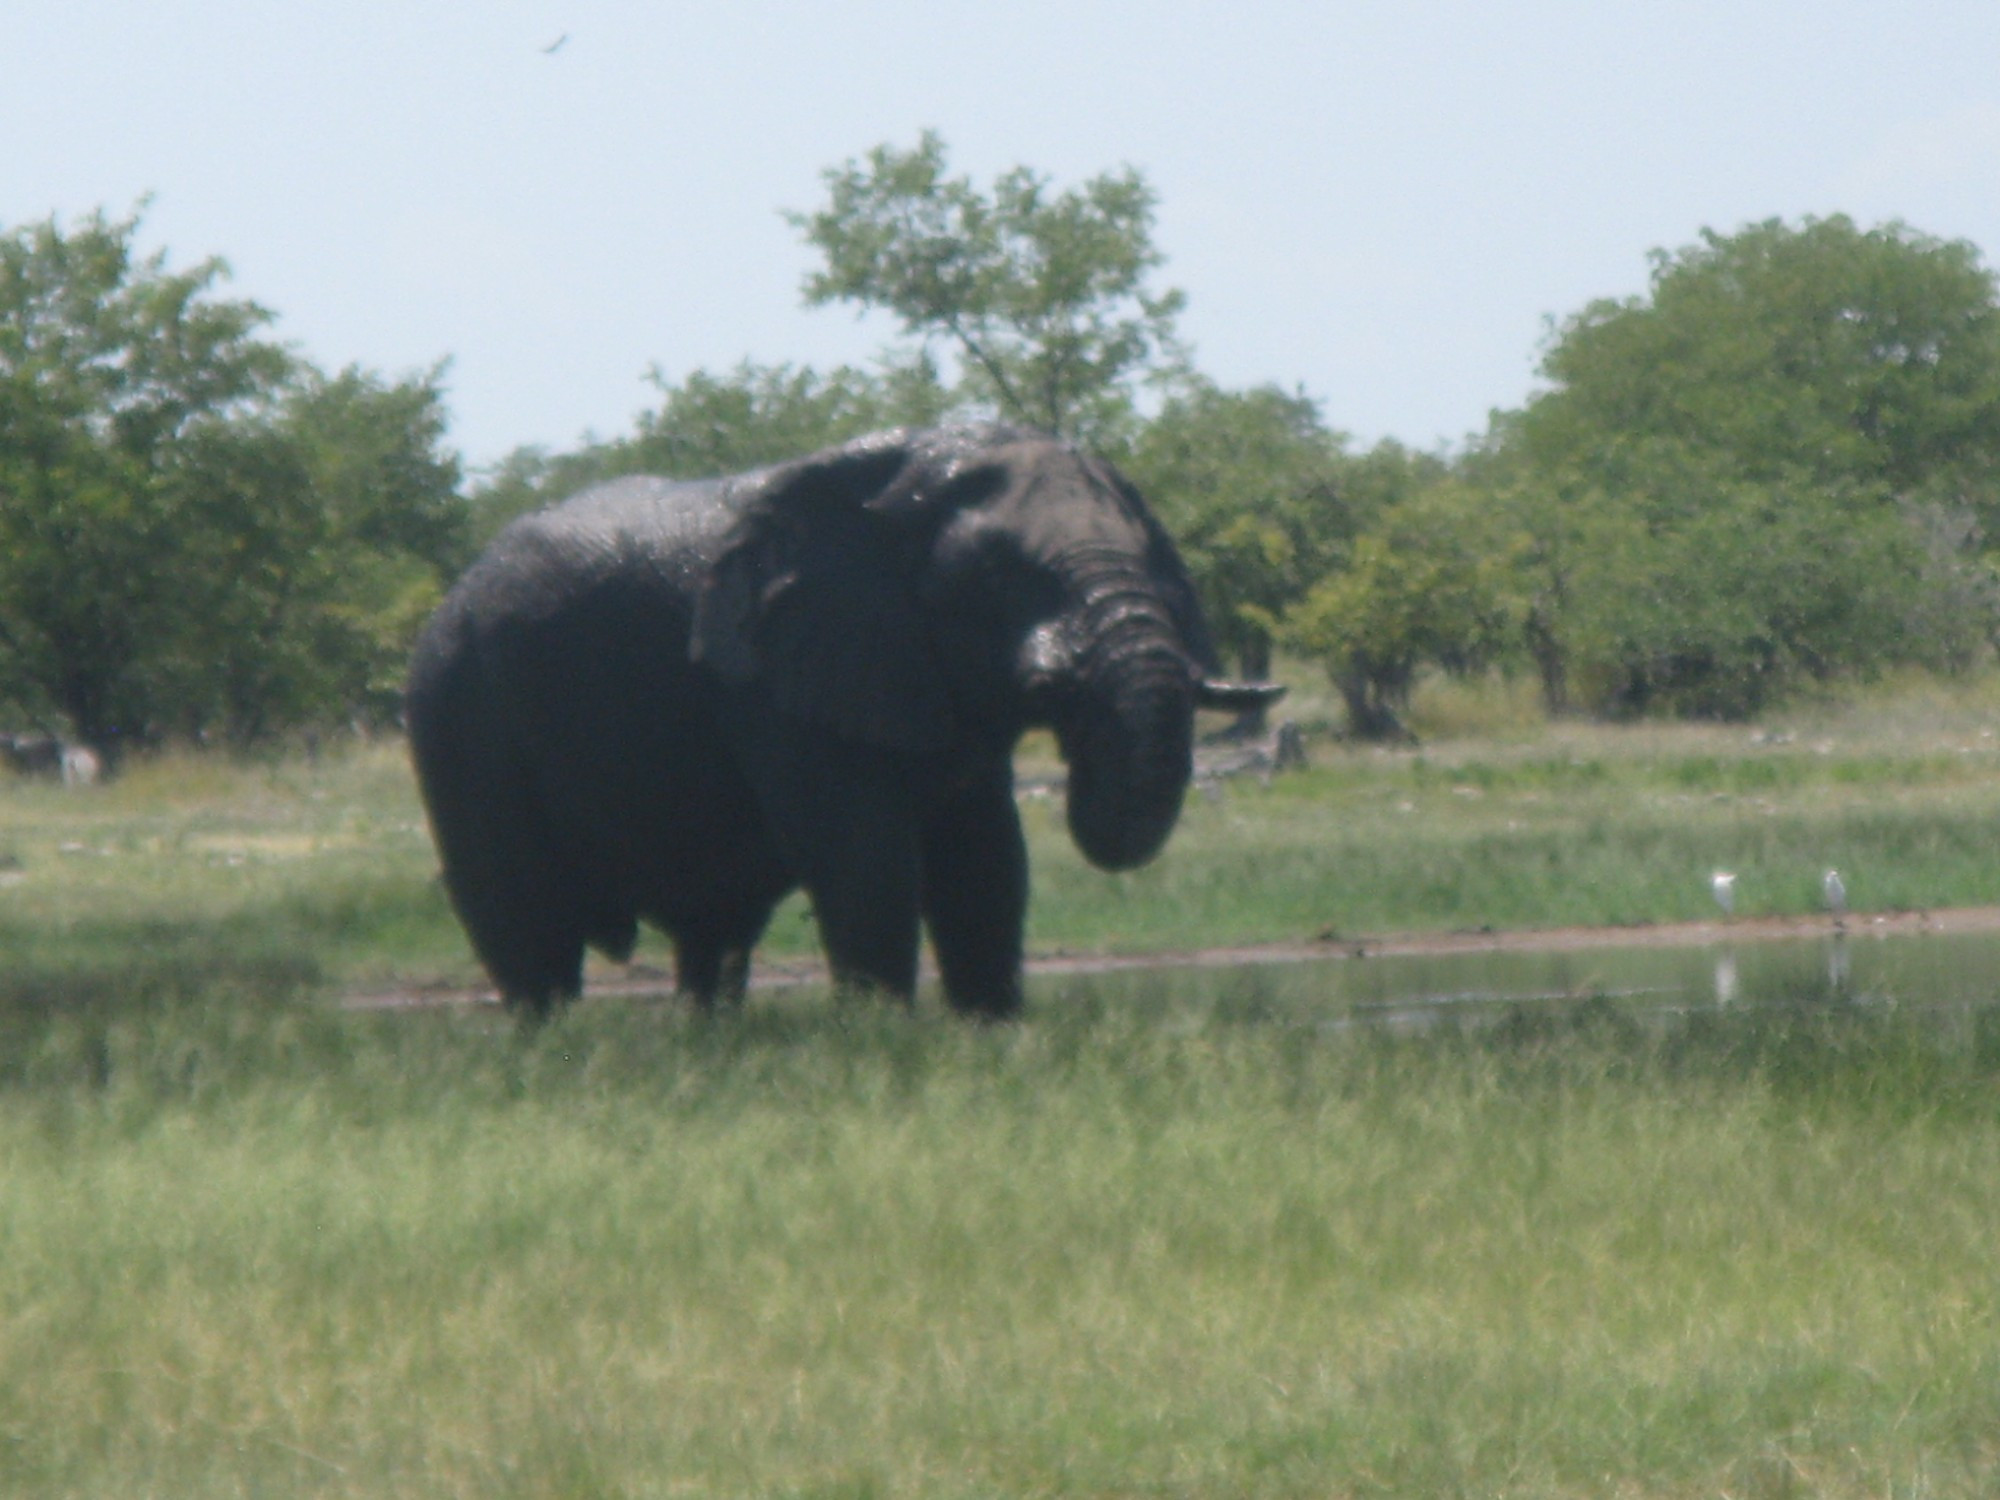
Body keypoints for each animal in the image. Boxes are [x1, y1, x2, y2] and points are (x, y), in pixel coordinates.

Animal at [406, 428, 1280, 1032]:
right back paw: (549, 1048)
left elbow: (988, 862)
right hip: (458, 712)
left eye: (1153, 554)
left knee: (713, 937)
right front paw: (882, 1041)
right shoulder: (769, 683)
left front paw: (993, 1035)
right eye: (999, 577)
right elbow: (865, 861)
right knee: (524, 920)